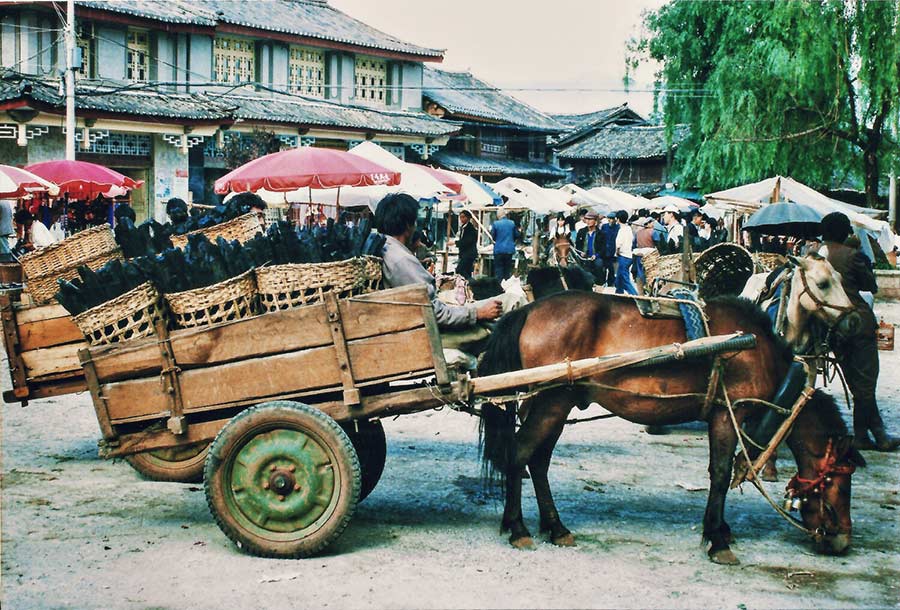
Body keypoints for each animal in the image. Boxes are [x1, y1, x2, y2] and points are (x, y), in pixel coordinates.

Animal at [482, 290, 860, 560]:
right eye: (840, 479)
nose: (842, 539)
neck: (758, 353)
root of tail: (529, 310)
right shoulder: (728, 413)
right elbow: (720, 473)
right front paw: (717, 539)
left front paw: (721, 529)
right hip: (552, 402)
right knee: (520, 455)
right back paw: (518, 528)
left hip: (552, 405)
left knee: (538, 462)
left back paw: (555, 527)